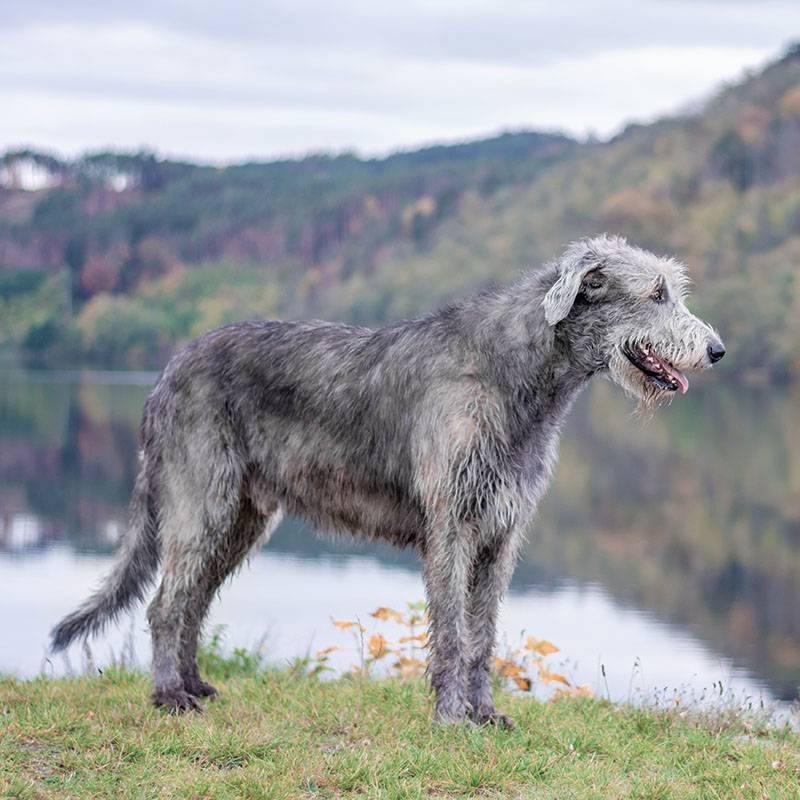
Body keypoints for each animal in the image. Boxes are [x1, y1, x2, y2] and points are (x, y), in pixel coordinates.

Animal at [50, 234, 724, 728]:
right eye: (657, 292)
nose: (717, 350)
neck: (512, 374)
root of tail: (166, 370)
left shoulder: (501, 534)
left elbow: (483, 634)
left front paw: (486, 714)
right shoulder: (452, 528)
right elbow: (451, 632)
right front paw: (451, 718)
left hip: (242, 519)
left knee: (191, 603)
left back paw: (194, 684)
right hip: (202, 502)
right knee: (167, 605)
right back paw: (170, 697)